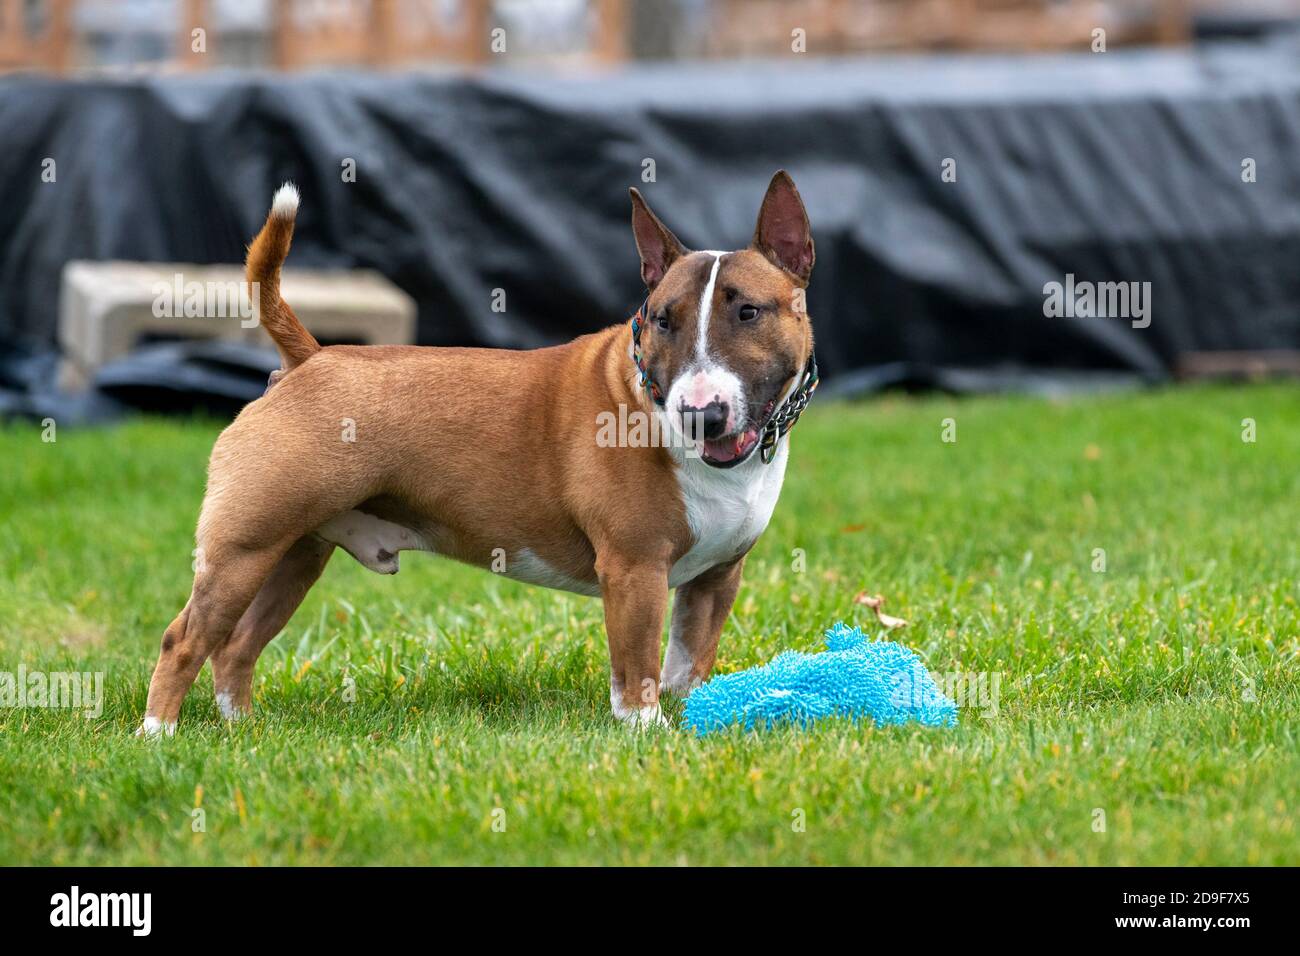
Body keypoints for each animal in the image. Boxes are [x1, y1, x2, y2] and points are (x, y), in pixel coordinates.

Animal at [139, 167, 811, 733]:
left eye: (750, 312)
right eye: (662, 319)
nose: (702, 415)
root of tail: (311, 358)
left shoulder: (717, 579)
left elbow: (687, 664)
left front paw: (692, 722)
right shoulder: (634, 567)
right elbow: (638, 671)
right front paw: (647, 735)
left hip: (295, 553)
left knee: (238, 644)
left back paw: (242, 730)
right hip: (243, 548)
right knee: (185, 638)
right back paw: (159, 738)